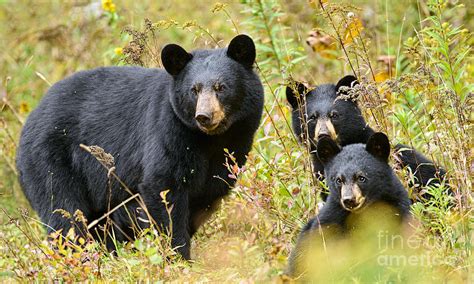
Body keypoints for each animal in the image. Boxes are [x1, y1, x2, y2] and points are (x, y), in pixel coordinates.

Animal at [15, 34, 266, 258]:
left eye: (221, 87)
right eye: (193, 90)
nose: (204, 116)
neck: (209, 140)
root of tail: (28, 122)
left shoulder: (234, 146)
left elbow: (208, 193)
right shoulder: (167, 133)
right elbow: (163, 189)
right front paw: (178, 257)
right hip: (49, 162)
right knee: (64, 215)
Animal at [286, 133, 412, 278]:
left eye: (361, 177)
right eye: (338, 180)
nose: (349, 200)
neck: (362, 213)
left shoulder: (397, 209)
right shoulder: (329, 223)